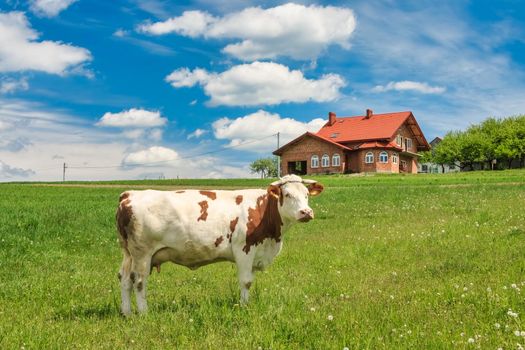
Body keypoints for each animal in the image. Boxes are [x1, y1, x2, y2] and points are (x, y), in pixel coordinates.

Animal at [116, 174, 322, 314]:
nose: (306, 212)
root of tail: (129, 194)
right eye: (287, 194)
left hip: (128, 253)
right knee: (139, 281)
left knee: (124, 279)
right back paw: (144, 313)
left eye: (306, 194)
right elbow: (246, 281)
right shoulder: (244, 249)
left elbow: (250, 280)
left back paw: (126, 313)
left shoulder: (257, 253)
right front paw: (244, 307)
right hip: (142, 253)